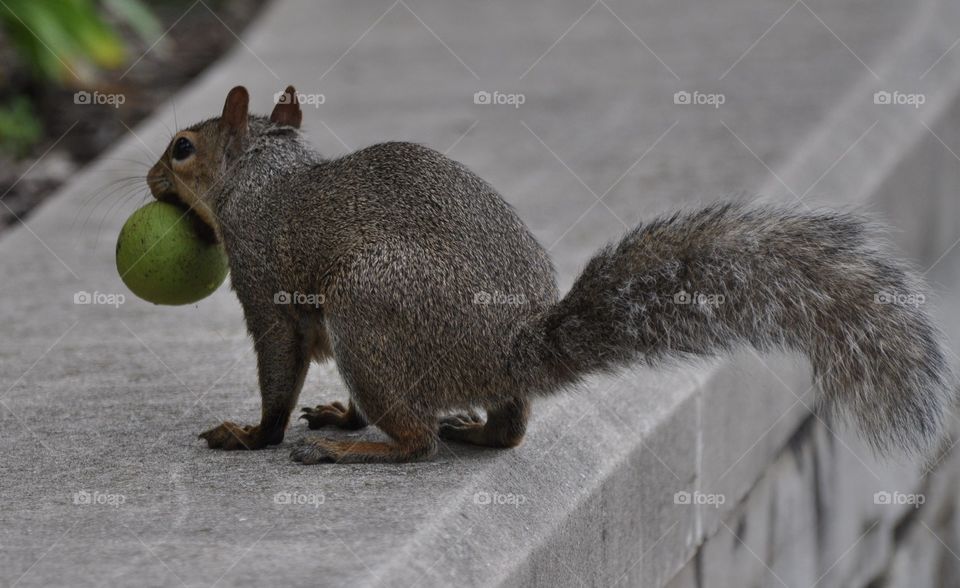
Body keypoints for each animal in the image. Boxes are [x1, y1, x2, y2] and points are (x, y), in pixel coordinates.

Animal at [145, 86, 956, 464]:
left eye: (183, 147)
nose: (150, 179)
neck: (263, 174)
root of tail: (513, 348)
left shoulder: (264, 284)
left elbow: (280, 367)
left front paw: (254, 434)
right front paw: (324, 414)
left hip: (368, 311)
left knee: (416, 439)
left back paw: (357, 445)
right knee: (506, 428)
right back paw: (451, 427)